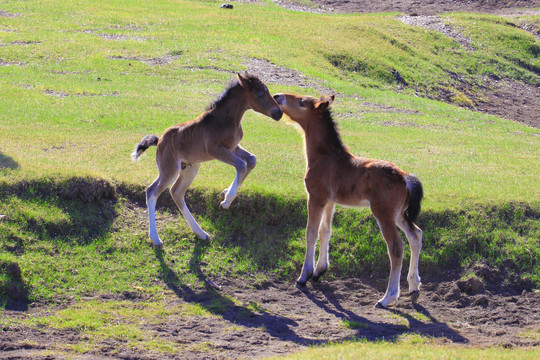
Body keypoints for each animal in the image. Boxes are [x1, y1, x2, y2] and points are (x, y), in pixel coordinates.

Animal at [132, 74, 282, 246]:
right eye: (260, 93)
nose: (279, 112)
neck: (227, 119)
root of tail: (159, 140)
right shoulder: (215, 150)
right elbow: (241, 165)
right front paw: (226, 202)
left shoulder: (233, 148)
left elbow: (251, 160)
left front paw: (225, 192)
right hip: (169, 169)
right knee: (152, 192)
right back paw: (156, 238)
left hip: (191, 168)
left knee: (176, 192)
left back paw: (201, 234)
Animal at [274, 92, 422, 306]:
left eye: (302, 102)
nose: (277, 96)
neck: (324, 157)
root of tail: (405, 178)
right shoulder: (330, 201)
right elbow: (325, 231)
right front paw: (319, 271)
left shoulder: (316, 197)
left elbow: (311, 232)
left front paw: (304, 276)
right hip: (400, 214)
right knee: (416, 236)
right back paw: (414, 286)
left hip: (384, 213)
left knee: (396, 247)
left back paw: (388, 298)